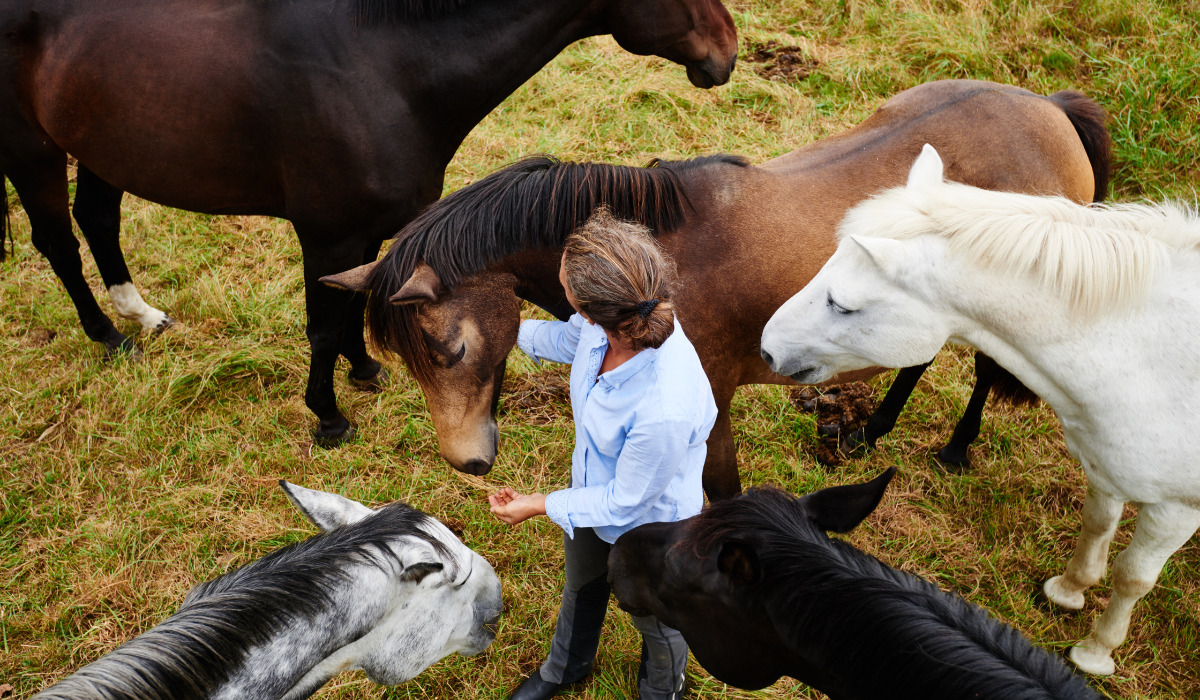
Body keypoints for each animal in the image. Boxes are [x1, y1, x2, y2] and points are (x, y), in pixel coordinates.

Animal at [0, 0, 737, 445]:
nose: (728, 51)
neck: (384, 60)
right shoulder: (324, 231)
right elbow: (324, 323)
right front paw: (328, 417)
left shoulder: (365, 229)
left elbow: (356, 299)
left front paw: (363, 371)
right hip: (33, 150)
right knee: (58, 240)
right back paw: (106, 335)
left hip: (103, 144)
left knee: (98, 220)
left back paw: (141, 314)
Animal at [321, 80, 1110, 498]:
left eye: (450, 351)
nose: (467, 463)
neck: (656, 258)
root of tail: (1052, 110)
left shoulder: (711, 410)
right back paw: (872, 430)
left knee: (983, 373)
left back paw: (955, 449)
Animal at [759, 144, 1200, 676]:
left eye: (842, 305)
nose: (768, 349)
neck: (1145, 352)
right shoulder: (1106, 467)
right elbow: (1096, 525)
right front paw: (1068, 591)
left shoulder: (1175, 509)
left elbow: (1132, 577)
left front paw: (1096, 651)